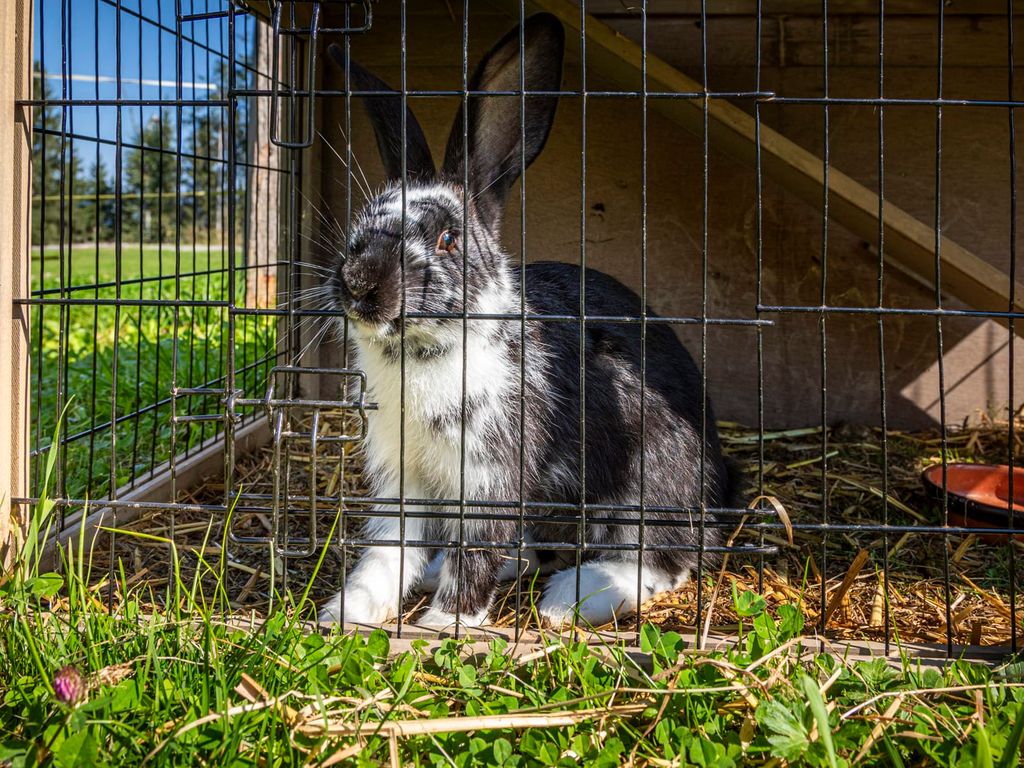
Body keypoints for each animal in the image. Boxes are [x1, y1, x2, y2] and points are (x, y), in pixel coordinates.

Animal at [317, 12, 733, 629]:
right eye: (360, 225)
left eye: (448, 239)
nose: (360, 284)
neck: (424, 351)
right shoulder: (401, 476)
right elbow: (387, 550)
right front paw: (348, 612)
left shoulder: (492, 476)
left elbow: (476, 552)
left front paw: (441, 625)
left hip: (650, 483)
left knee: (664, 557)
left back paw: (569, 598)